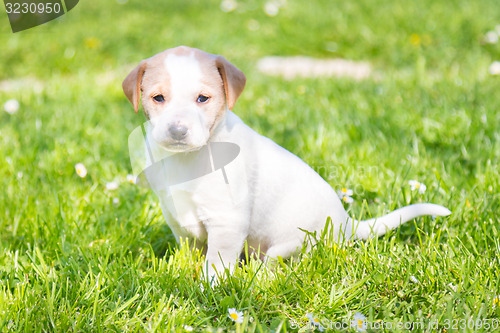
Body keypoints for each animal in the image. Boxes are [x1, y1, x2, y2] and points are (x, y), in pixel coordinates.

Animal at [122, 46, 454, 280]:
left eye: (203, 99)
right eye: (158, 98)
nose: (178, 131)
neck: (187, 159)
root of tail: (348, 224)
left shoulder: (227, 221)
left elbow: (217, 261)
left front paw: (209, 287)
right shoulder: (177, 217)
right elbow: (190, 250)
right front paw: (181, 272)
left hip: (293, 241)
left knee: (276, 263)